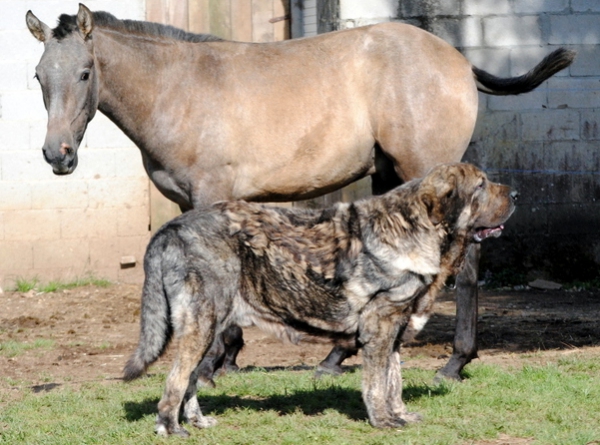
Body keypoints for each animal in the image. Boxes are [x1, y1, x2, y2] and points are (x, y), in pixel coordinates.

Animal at [25, 3, 576, 380]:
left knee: (465, 261)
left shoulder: (210, 196)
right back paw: (340, 356)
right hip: (391, 177)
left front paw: (213, 362)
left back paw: (455, 362)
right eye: (38, 76)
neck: (176, 89)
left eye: (85, 73)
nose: (58, 155)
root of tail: (459, 60)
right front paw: (225, 358)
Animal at [123, 162, 516, 434]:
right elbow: (377, 383)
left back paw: (198, 422)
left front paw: (400, 414)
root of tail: (170, 228)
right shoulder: (380, 327)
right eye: (481, 185)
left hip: (208, 326)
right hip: (201, 324)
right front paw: (383, 421)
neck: (415, 226)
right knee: (176, 379)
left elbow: (394, 381)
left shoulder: (394, 330)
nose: (515, 196)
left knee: (188, 378)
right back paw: (170, 428)